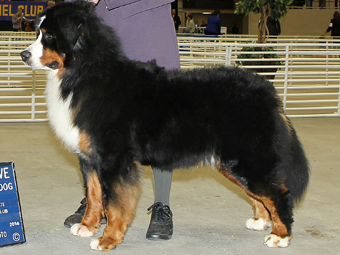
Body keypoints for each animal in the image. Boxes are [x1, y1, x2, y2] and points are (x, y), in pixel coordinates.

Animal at [19, 0, 310, 251]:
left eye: (48, 36)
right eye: (39, 33)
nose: (23, 54)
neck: (85, 73)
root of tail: (267, 91)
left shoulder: (114, 158)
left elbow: (115, 203)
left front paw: (108, 239)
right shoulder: (89, 156)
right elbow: (93, 195)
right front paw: (87, 226)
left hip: (248, 158)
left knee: (279, 193)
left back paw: (280, 235)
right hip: (230, 161)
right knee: (260, 195)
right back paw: (261, 221)